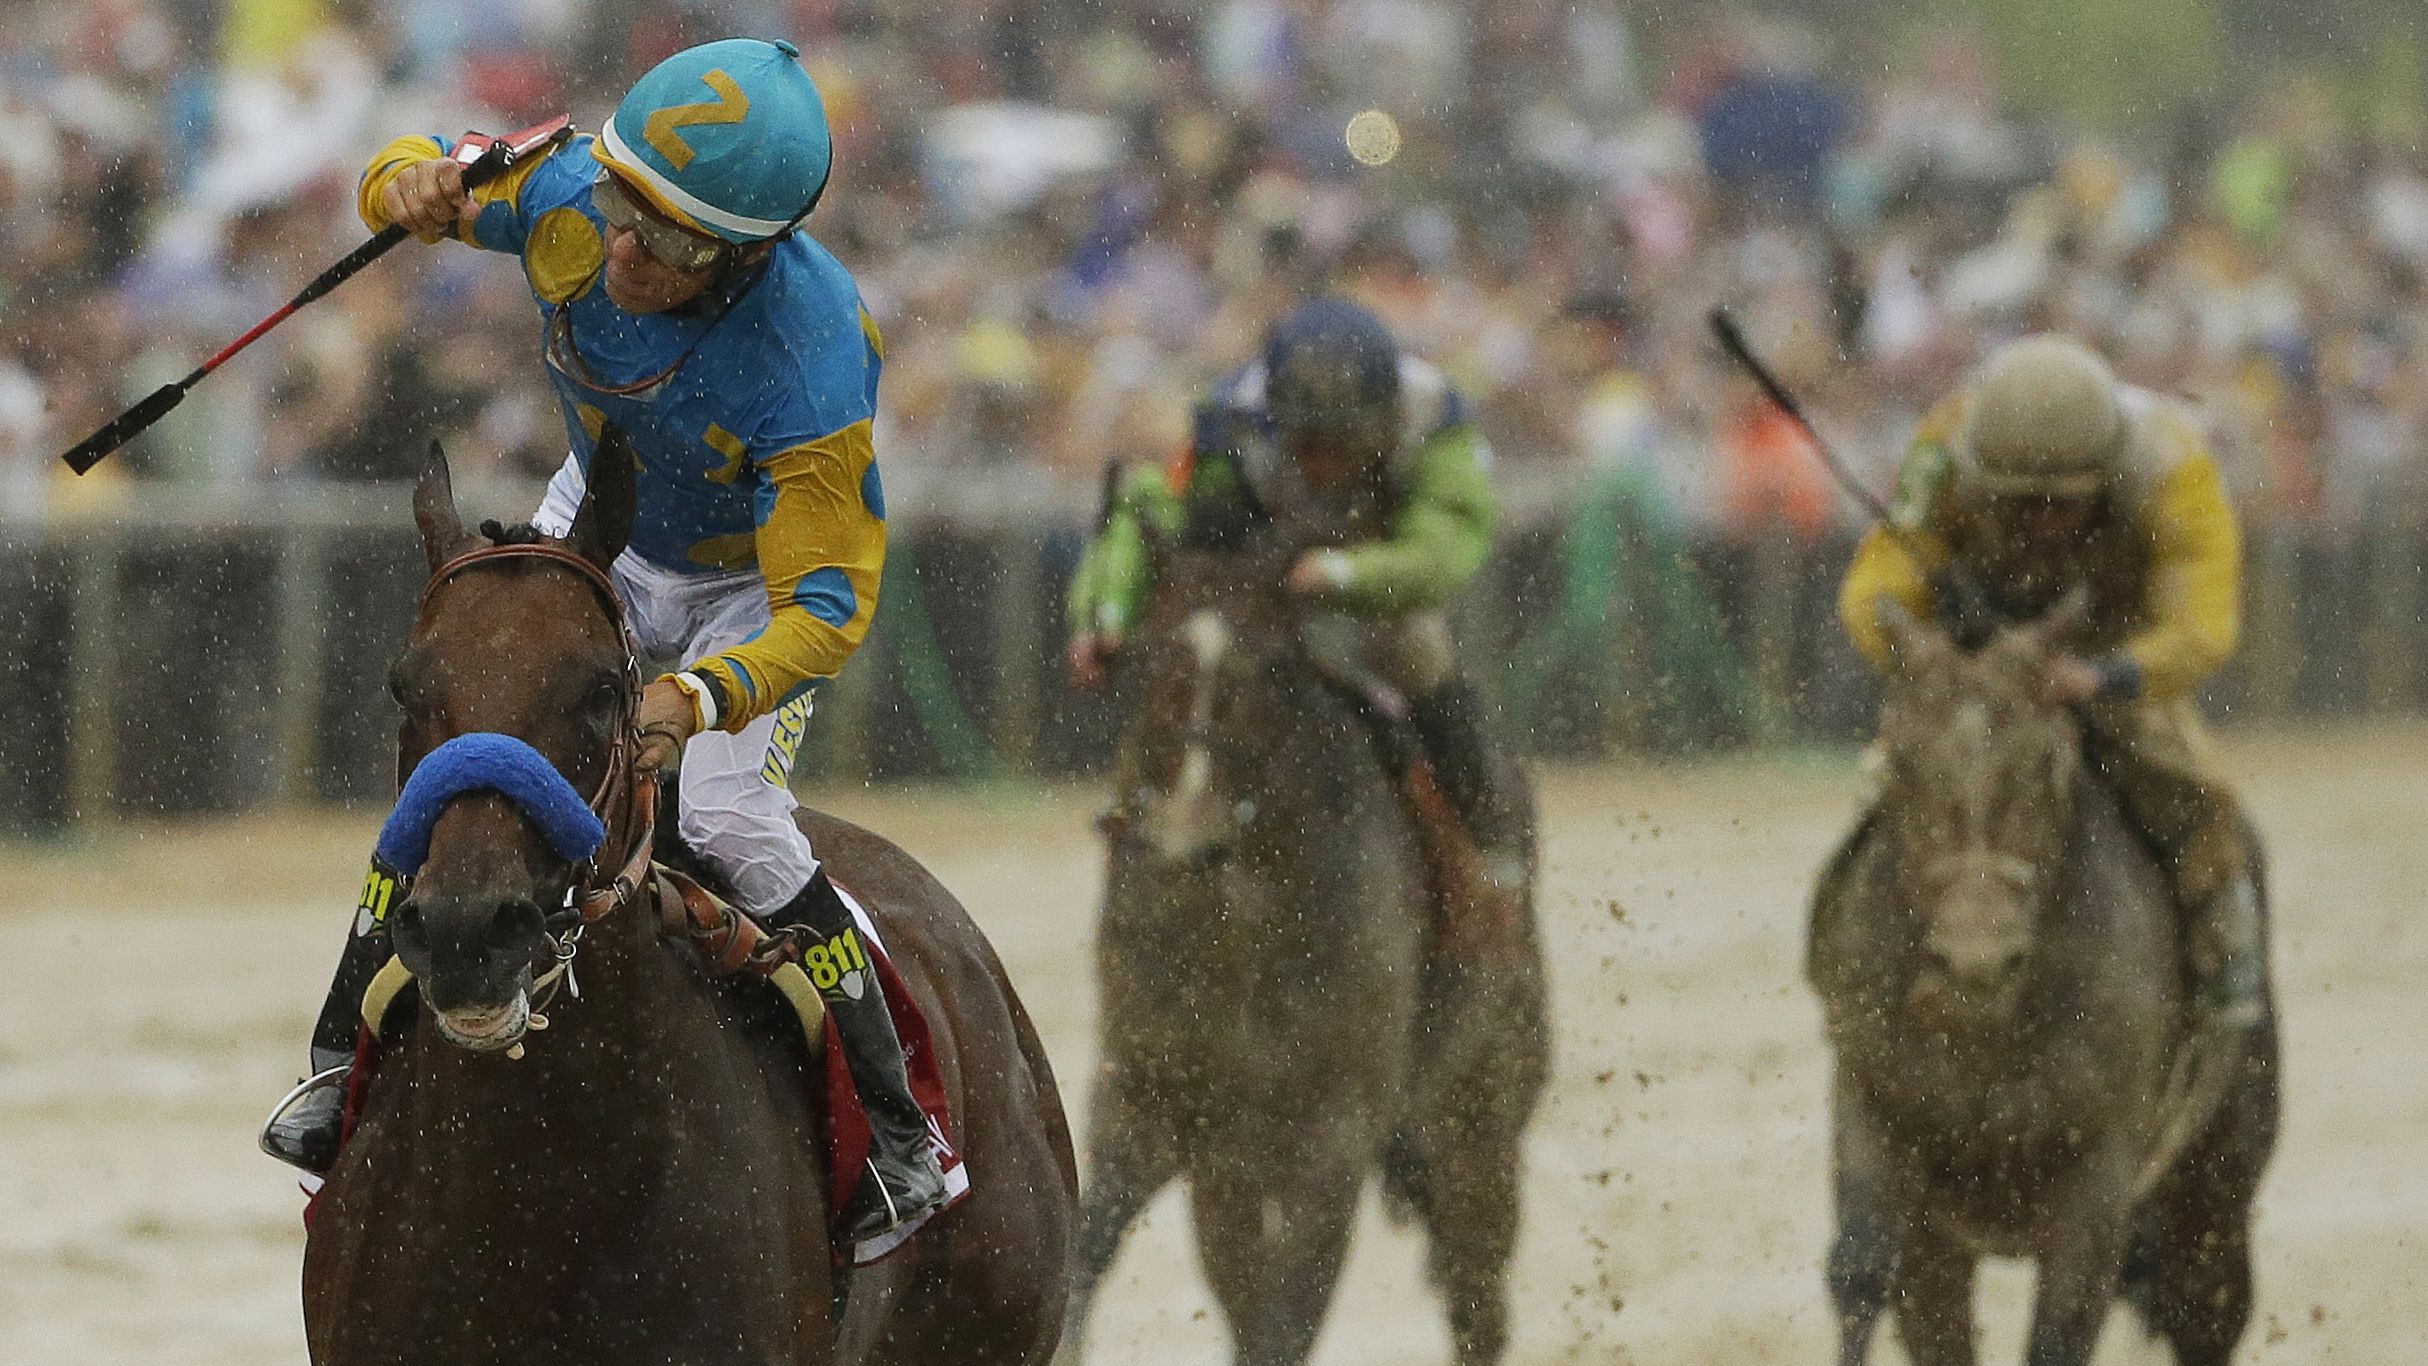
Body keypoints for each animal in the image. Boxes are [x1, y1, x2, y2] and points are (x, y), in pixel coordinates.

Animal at [1053, 531, 1544, 1366]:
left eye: (1275, 663)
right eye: (1152, 654)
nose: (1185, 831)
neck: (1242, 923)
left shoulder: (1333, 1132)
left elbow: (1289, 1318)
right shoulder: (1150, 1096)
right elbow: (1088, 1246)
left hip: (1477, 1123)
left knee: (1479, 1301)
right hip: (1235, 1171)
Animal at [1816, 606, 2282, 1366]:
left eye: (2046, 761)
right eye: (1903, 763)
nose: (1976, 958)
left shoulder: (2096, 1183)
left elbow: (2063, 1326)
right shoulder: (1879, 1123)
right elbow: (1863, 1273)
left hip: (2216, 1189)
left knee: (2207, 1310)